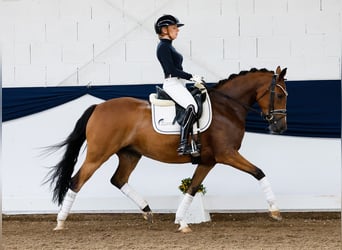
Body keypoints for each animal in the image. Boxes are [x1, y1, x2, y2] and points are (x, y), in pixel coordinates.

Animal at [45, 66, 288, 232]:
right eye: (280, 95)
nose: (280, 127)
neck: (227, 108)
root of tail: (98, 107)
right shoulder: (227, 154)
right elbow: (259, 172)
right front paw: (275, 211)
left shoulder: (208, 160)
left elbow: (193, 188)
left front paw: (181, 221)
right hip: (98, 154)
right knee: (76, 181)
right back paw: (60, 222)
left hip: (130, 154)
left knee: (118, 179)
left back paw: (148, 212)